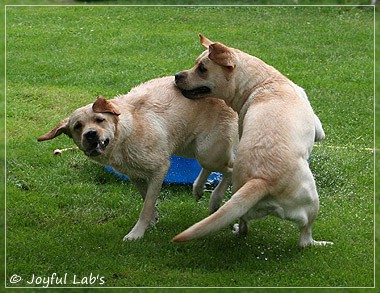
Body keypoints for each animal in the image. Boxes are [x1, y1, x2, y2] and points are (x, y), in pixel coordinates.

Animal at [37, 76, 236, 241]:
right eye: (78, 126)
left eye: (100, 120)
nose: (91, 134)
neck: (126, 134)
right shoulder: (135, 175)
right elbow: (146, 197)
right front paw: (153, 219)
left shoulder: (160, 168)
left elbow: (146, 206)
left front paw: (137, 233)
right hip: (190, 147)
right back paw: (198, 188)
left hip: (206, 151)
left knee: (231, 167)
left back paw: (216, 198)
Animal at [172, 35, 332, 248]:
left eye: (201, 68)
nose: (176, 76)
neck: (262, 83)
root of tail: (261, 180)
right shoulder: (316, 125)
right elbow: (320, 131)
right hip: (312, 201)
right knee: (304, 239)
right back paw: (320, 243)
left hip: (243, 204)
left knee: (243, 223)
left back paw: (235, 227)